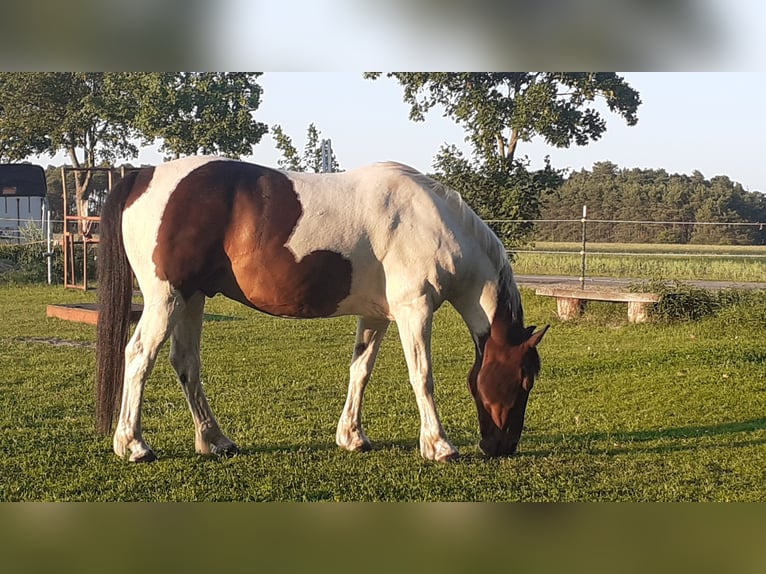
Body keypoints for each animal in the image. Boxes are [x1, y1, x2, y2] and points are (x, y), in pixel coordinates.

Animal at [95, 156, 548, 463]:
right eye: (524, 380)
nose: (503, 446)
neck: (432, 222)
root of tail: (144, 174)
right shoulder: (414, 309)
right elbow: (422, 377)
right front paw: (438, 446)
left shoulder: (378, 315)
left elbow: (360, 371)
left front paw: (352, 437)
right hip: (167, 298)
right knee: (140, 356)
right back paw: (133, 445)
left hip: (192, 297)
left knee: (185, 362)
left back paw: (214, 441)